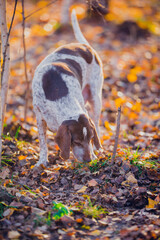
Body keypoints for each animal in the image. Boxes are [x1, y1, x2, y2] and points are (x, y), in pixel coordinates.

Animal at [32, 9, 104, 167]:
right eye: (76, 141)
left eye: (90, 138)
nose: (88, 160)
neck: (59, 99)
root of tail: (84, 45)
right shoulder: (39, 117)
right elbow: (43, 143)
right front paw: (42, 161)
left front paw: (94, 154)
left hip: (96, 98)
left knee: (97, 123)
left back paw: (99, 148)